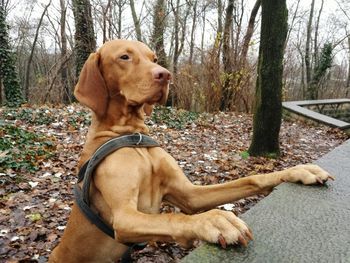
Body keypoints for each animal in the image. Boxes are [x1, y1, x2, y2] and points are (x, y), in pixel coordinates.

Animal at [49, 39, 334, 263]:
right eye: (124, 57)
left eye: (153, 58)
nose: (165, 75)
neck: (133, 136)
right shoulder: (124, 217)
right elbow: (171, 219)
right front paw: (214, 220)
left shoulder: (189, 195)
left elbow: (251, 179)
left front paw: (298, 171)